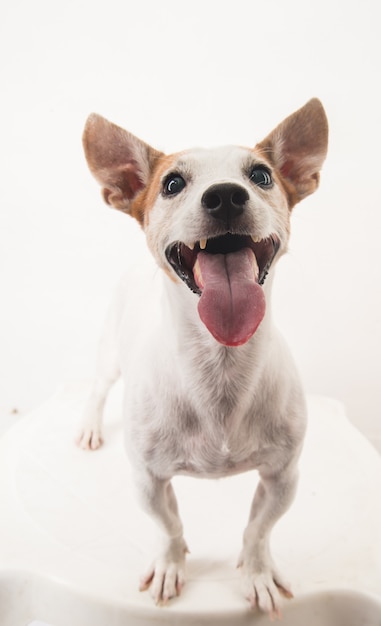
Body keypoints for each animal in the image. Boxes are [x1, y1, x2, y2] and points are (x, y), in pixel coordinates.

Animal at [76, 100, 326, 612]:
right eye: (172, 184)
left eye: (261, 176)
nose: (226, 195)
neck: (220, 363)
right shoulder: (148, 481)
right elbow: (169, 526)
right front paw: (171, 565)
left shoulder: (283, 477)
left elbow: (258, 529)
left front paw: (257, 571)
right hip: (109, 355)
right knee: (97, 389)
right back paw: (90, 426)